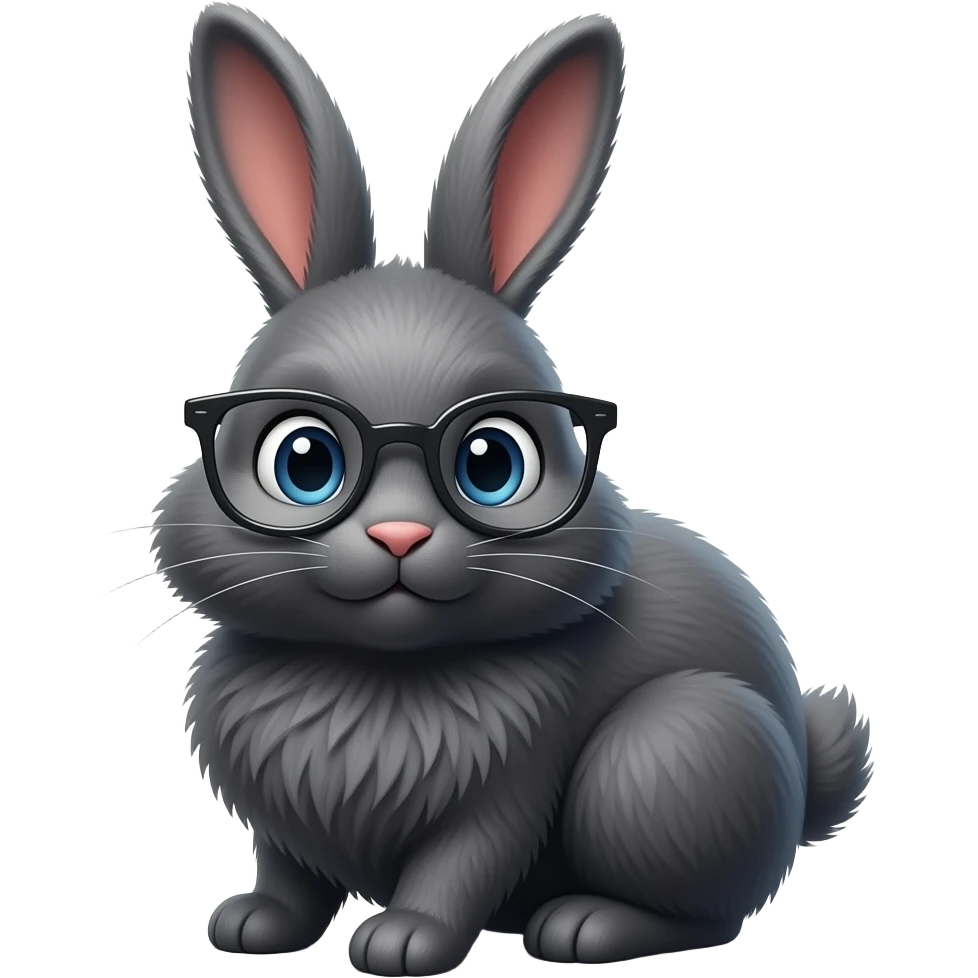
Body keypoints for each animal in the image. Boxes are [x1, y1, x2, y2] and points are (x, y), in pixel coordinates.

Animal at [164, 3, 875, 973]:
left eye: (492, 463)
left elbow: (460, 864)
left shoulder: (506, 793)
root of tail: (804, 781)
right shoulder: (281, 822)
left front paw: (406, 943)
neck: (379, 674)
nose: (398, 537)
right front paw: (253, 927)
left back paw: (585, 927)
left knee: (713, 913)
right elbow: (288, 871)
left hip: (667, 753)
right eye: (304, 461)